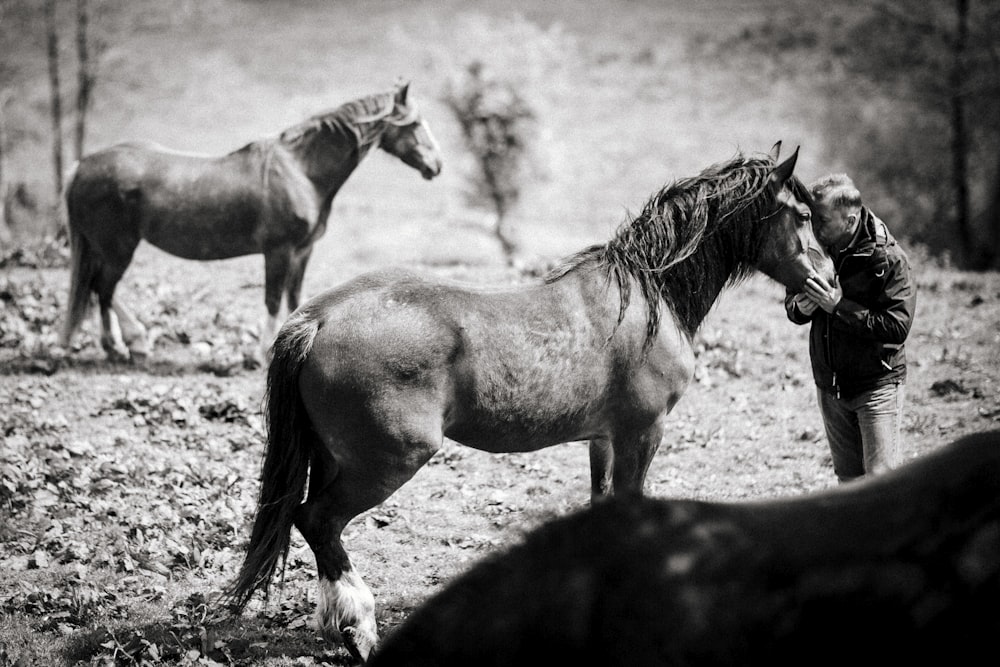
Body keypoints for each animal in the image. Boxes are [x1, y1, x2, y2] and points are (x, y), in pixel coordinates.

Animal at [58, 84, 442, 366]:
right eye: (415, 124)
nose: (436, 165)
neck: (301, 172)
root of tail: (81, 167)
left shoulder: (302, 252)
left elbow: (295, 299)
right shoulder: (278, 252)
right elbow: (272, 300)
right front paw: (259, 354)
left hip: (108, 248)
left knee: (100, 290)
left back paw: (130, 343)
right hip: (118, 247)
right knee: (103, 290)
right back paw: (121, 346)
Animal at [227, 144, 836, 660]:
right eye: (802, 216)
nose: (829, 282)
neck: (648, 296)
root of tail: (318, 319)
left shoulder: (603, 440)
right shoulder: (641, 434)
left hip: (334, 456)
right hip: (386, 462)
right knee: (318, 520)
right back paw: (359, 629)